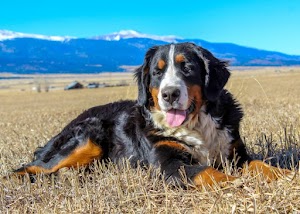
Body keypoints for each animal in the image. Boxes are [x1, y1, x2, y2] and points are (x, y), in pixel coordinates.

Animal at [13, 42, 290, 186]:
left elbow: (258, 163)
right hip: (86, 138)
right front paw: (235, 183)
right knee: (29, 167)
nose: (169, 94)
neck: (196, 125)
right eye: (157, 72)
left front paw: (283, 174)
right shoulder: (168, 164)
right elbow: (207, 172)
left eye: (187, 67)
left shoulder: (234, 153)